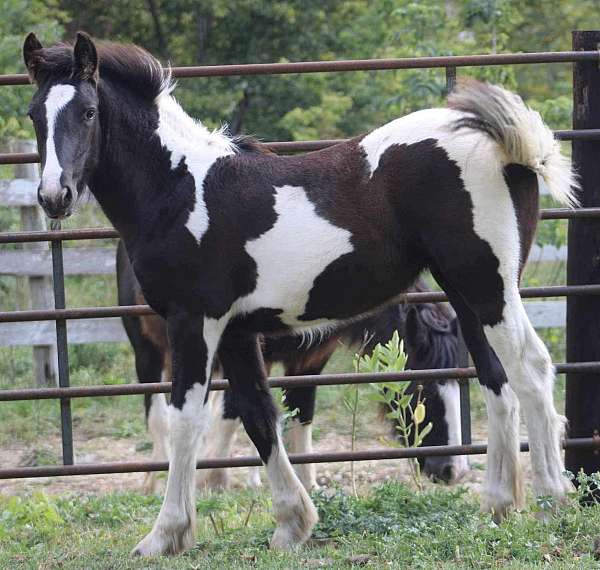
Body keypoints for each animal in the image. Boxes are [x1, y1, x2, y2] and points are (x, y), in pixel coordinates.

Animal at [116, 237, 464, 490]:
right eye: (423, 389)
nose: (452, 470)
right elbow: (232, 414)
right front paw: (213, 480)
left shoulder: (310, 362)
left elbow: (300, 415)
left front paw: (307, 482)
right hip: (148, 350)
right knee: (159, 415)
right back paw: (156, 480)